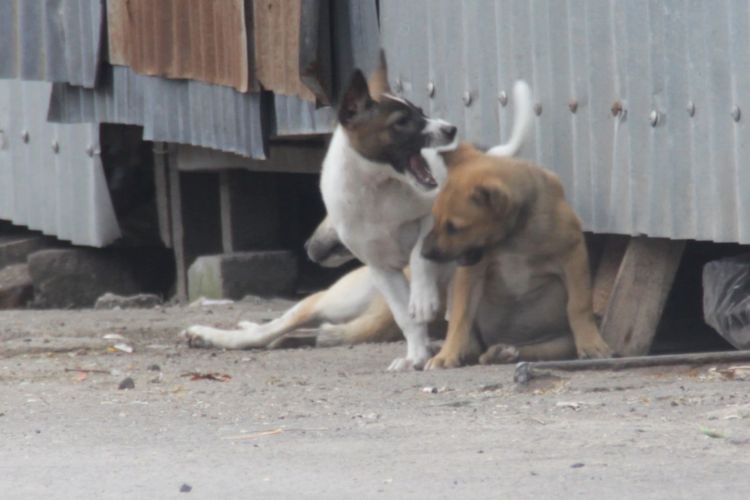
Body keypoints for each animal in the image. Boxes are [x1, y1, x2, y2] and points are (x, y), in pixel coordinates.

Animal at [420, 143, 612, 370]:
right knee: (473, 347)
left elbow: (579, 304)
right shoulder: (470, 273)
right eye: (435, 219)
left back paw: (500, 353)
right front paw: (447, 354)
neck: (513, 234)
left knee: (528, 351)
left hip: (559, 344)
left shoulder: (573, 254)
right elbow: (461, 316)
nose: (424, 253)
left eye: (454, 228)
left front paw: (590, 344)